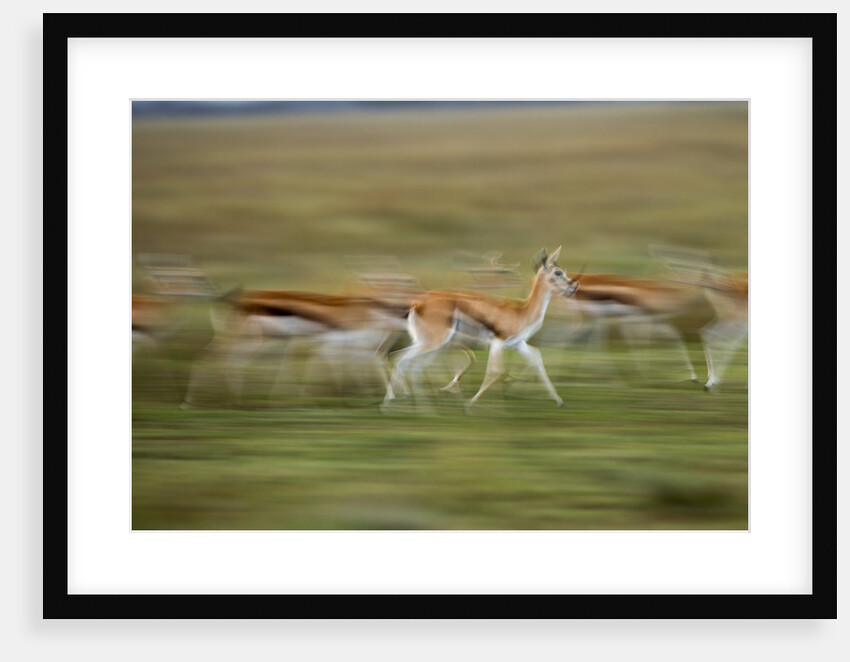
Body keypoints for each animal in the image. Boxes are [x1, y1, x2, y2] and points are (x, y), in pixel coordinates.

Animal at [383, 246, 580, 410]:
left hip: (429, 343)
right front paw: (472, 404)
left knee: (406, 362)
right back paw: (394, 401)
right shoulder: (497, 342)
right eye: (558, 272)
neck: (522, 312)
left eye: (564, 271)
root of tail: (418, 303)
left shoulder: (517, 344)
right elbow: (495, 371)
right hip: (434, 342)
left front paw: (558, 400)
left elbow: (536, 358)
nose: (574, 286)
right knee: (401, 359)